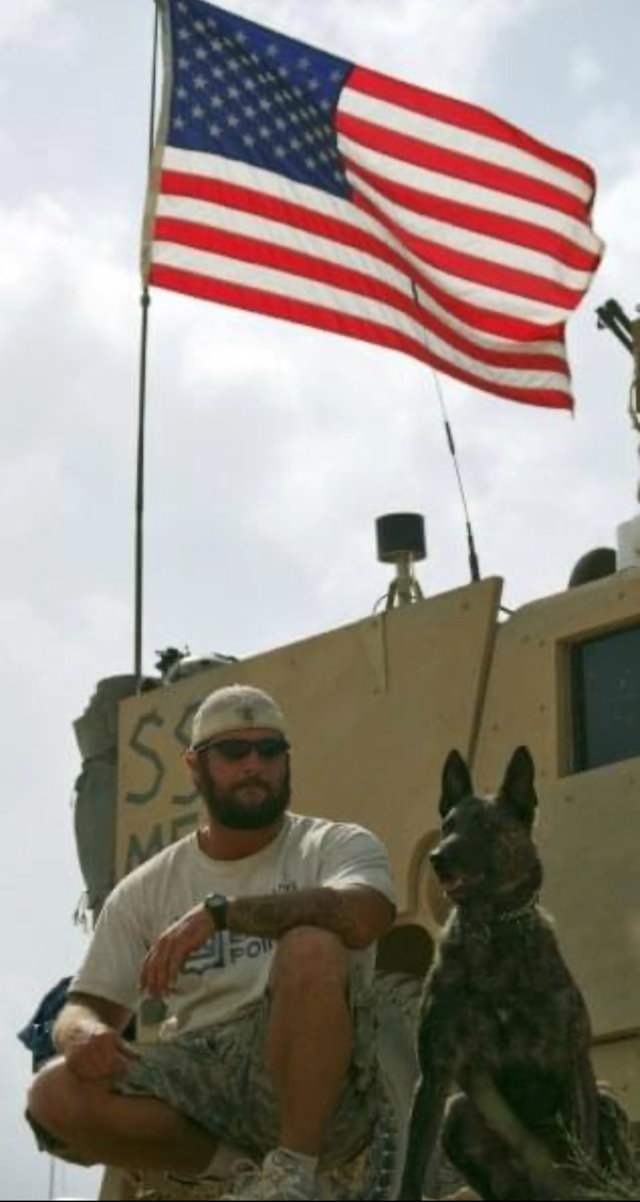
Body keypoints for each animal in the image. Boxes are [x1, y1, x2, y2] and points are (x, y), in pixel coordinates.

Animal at [396, 745, 625, 1197]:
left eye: (487, 826)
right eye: (448, 825)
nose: (438, 859)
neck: (494, 932)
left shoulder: (573, 1058)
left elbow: (585, 1148)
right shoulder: (435, 1073)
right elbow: (412, 1166)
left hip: (607, 1100)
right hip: (458, 1112)